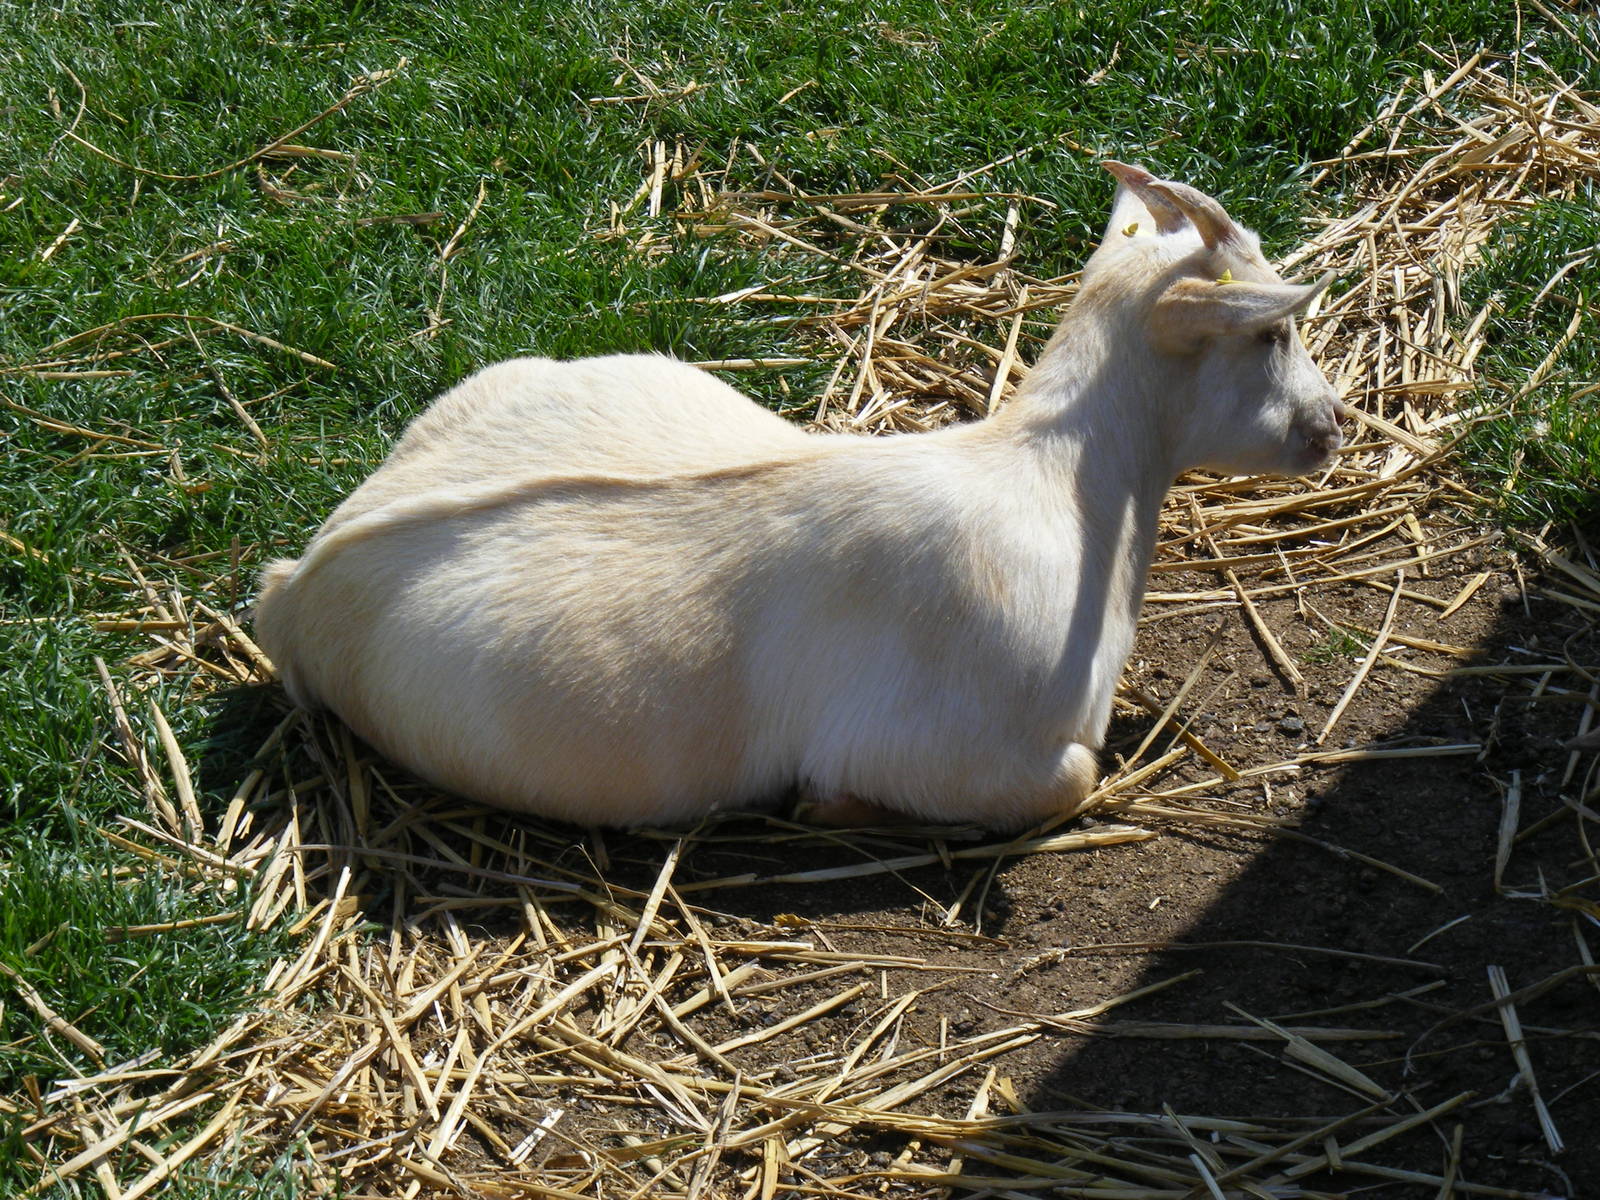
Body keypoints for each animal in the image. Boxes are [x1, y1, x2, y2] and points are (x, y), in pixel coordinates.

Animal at [253, 163, 1344, 829]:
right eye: (1268, 332)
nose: (1331, 425)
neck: (1061, 481)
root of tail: (298, 581)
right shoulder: (964, 749)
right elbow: (1070, 780)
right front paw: (826, 807)